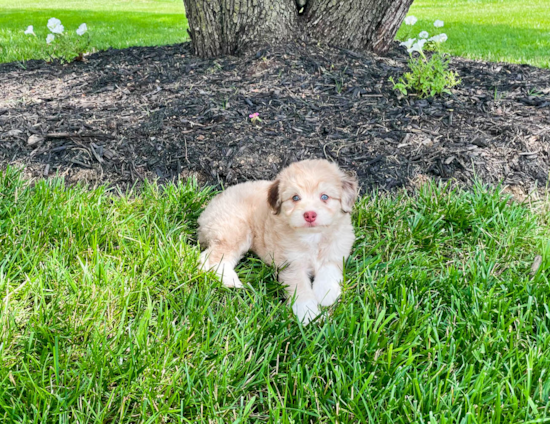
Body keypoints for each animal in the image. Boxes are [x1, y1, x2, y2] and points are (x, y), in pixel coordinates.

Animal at [197, 159, 358, 324]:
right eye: (295, 198)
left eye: (324, 197)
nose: (310, 215)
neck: (312, 237)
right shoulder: (291, 264)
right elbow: (301, 290)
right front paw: (310, 315)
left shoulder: (337, 251)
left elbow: (329, 270)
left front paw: (326, 294)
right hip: (234, 232)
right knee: (211, 258)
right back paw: (230, 280)